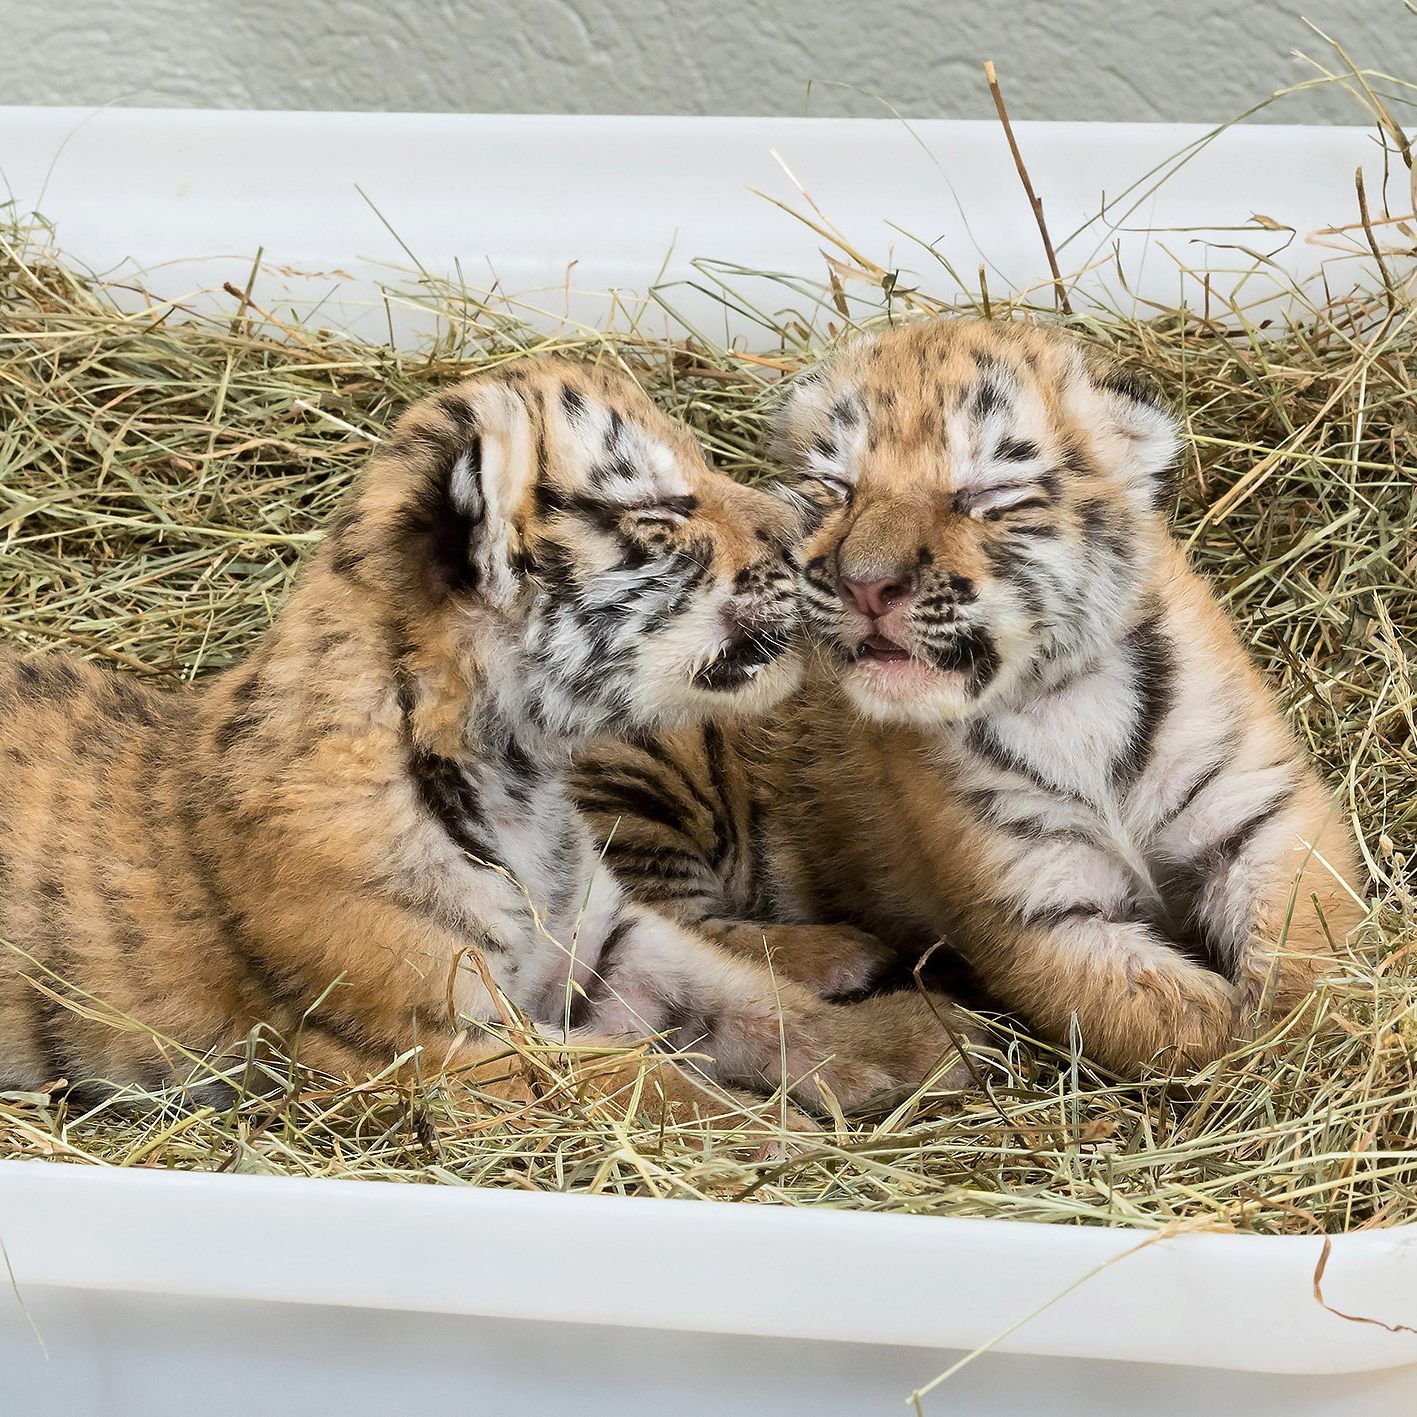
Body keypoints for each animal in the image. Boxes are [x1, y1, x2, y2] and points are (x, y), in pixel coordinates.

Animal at [0, 357, 979, 1119]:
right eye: (661, 508)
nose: (807, 535)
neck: (517, 776)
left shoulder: (606, 941)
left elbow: (758, 1002)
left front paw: (921, 1035)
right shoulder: (428, 1046)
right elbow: (639, 1082)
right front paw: (775, 1140)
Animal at [576, 319, 1365, 1075]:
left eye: (986, 493)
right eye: (837, 488)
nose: (866, 585)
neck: (1061, 698)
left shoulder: (1263, 812)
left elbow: (1309, 934)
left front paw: (1302, 1031)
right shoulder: (1027, 906)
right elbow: (1172, 1019)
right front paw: (1246, 1048)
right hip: (635, 785)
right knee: (664, 930)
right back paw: (847, 955)